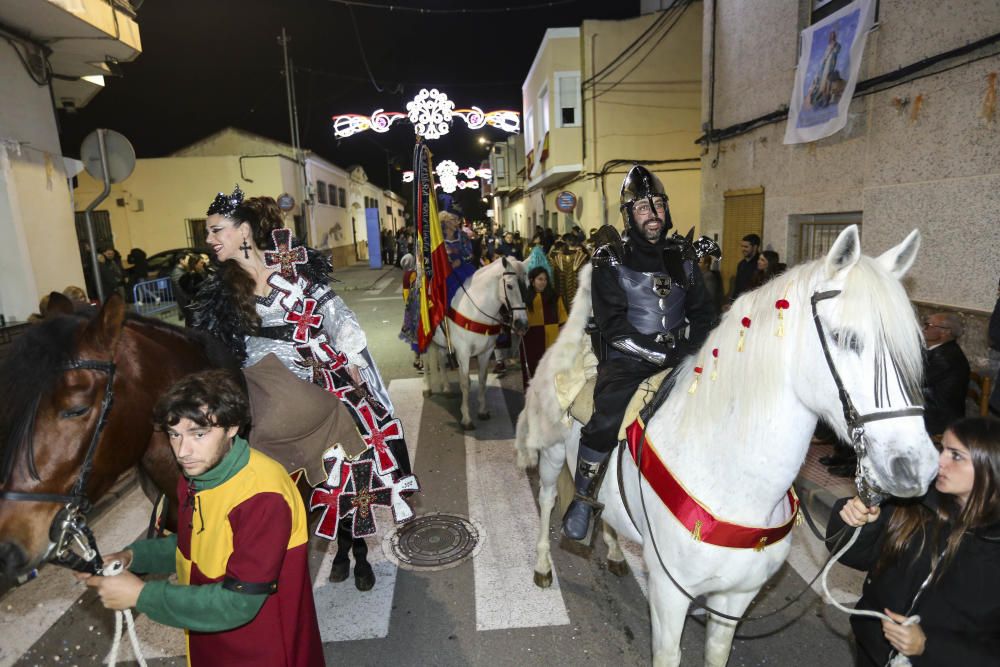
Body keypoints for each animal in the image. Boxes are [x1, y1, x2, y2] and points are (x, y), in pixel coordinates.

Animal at [424, 258, 532, 430]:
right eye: (509, 285)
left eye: (528, 285)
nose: (522, 324)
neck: (476, 309)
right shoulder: (463, 353)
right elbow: (464, 384)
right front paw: (466, 418)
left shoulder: (486, 352)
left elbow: (482, 380)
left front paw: (482, 411)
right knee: (426, 362)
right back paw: (427, 388)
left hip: (441, 344)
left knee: (441, 359)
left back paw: (447, 388)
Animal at [516, 227, 936, 664]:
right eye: (844, 338)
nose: (914, 467)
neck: (732, 476)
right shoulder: (668, 596)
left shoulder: (736, 597)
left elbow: (718, 652)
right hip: (551, 455)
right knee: (549, 498)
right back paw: (545, 562)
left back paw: (614, 552)